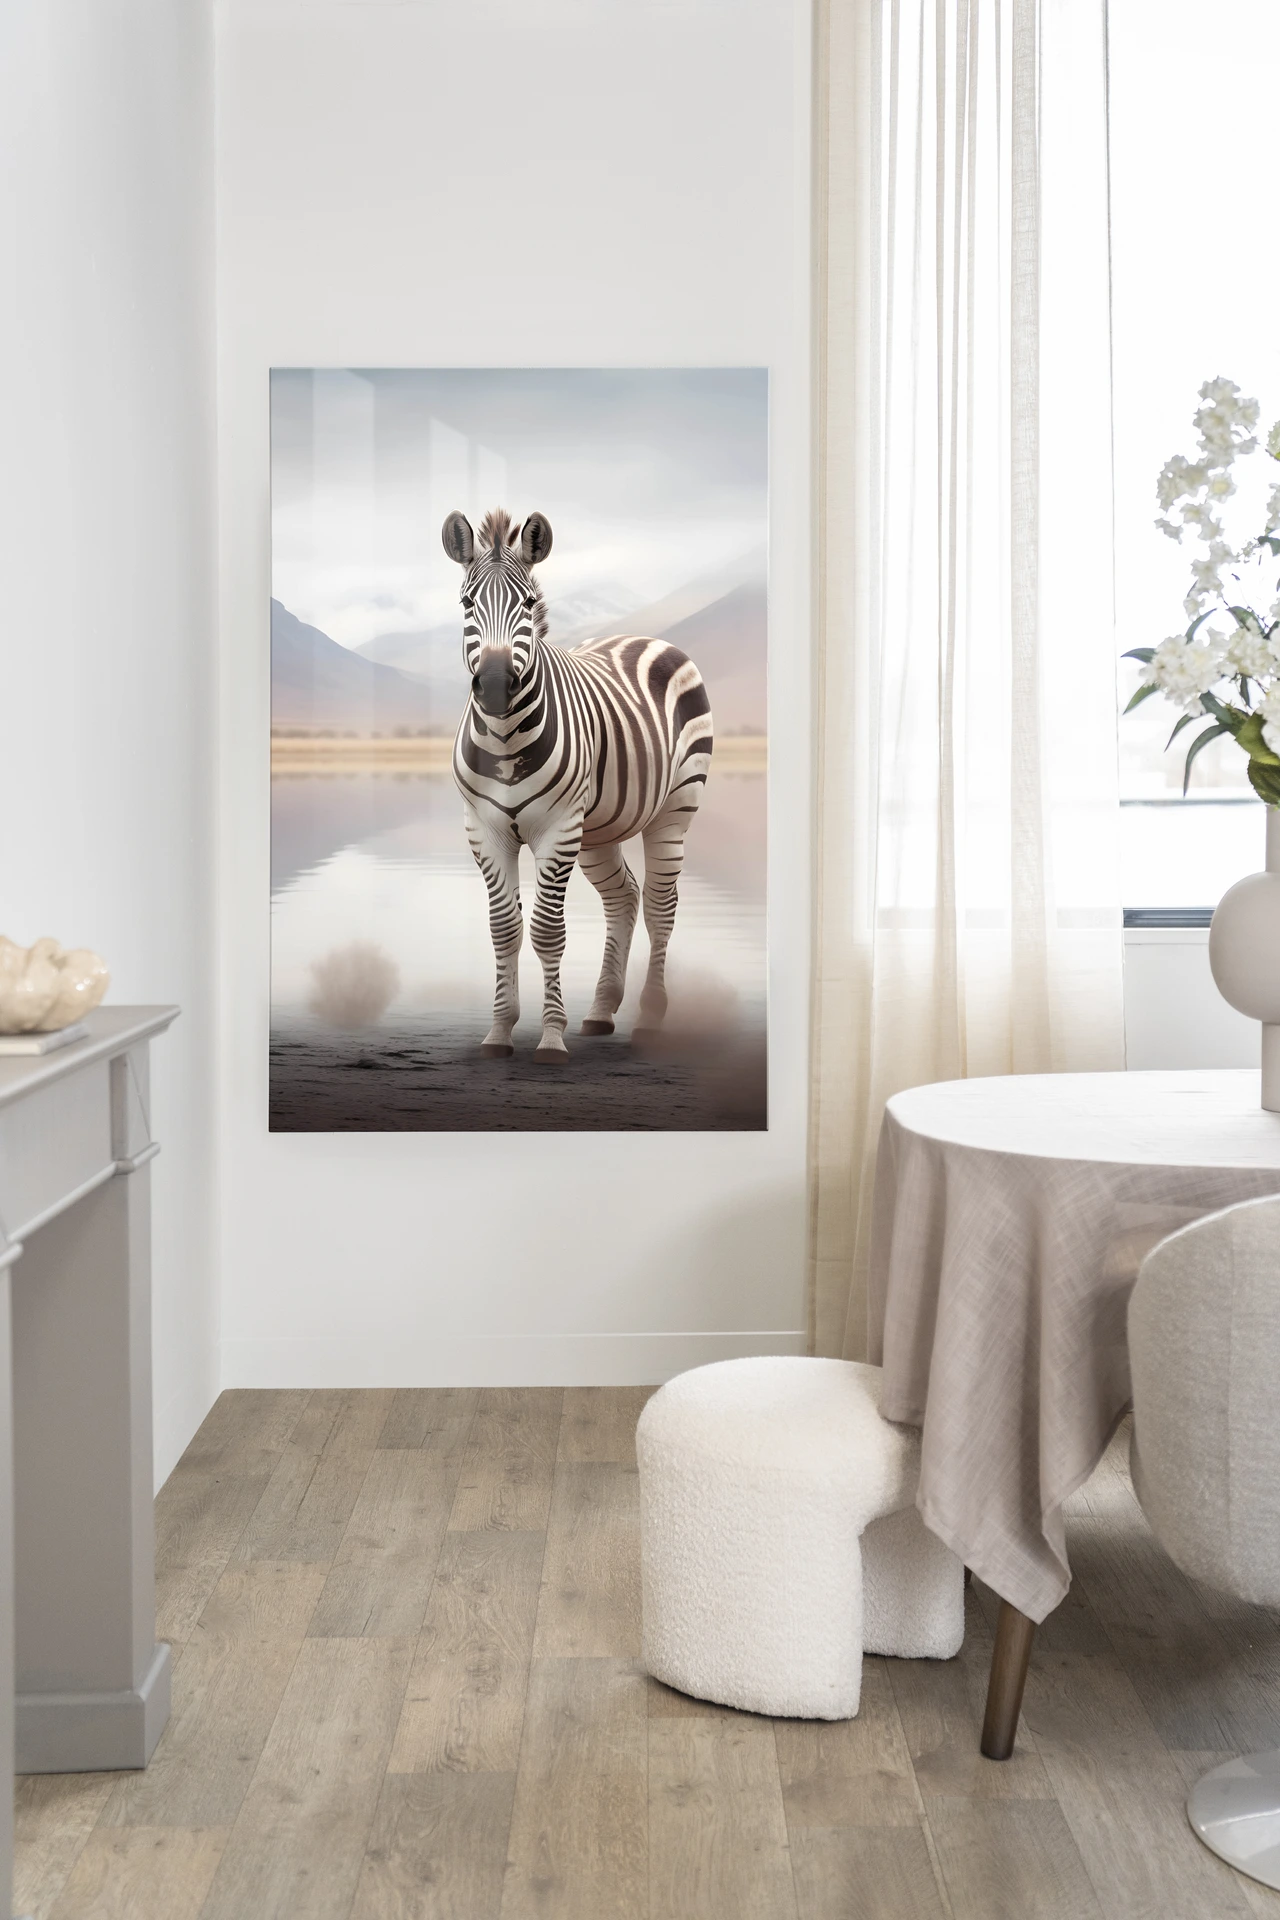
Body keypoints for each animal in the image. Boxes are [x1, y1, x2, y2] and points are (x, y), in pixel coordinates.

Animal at [443, 507, 714, 1062]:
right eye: (466, 603)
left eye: (528, 603)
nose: (496, 685)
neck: (504, 739)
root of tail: (645, 637)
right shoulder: (484, 829)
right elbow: (504, 929)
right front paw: (500, 1031)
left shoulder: (557, 828)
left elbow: (548, 931)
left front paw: (550, 1037)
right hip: (598, 831)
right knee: (624, 897)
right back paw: (601, 1011)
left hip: (674, 810)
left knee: (660, 907)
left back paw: (649, 1019)